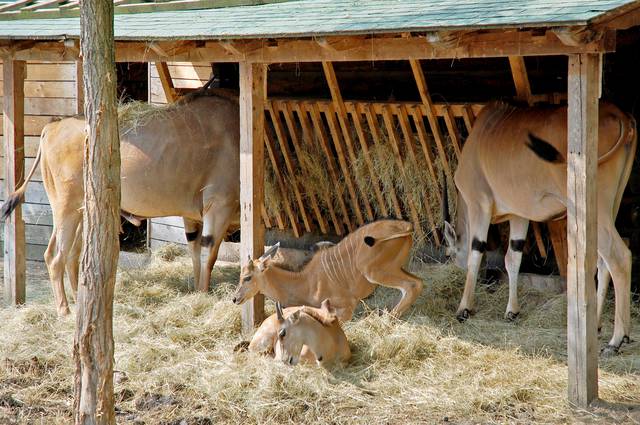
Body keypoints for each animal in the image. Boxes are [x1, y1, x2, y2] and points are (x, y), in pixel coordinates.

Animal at [0, 90, 240, 314]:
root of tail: (51, 127)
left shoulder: (192, 217)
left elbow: (195, 254)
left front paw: (197, 292)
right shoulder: (219, 207)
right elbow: (209, 256)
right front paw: (204, 296)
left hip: (80, 212)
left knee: (72, 256)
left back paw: (79, 303)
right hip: (65, 209)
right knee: (54, 257)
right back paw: (65, 311)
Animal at [232, 220, 422, 320]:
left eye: (247, 277)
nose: (235, 298)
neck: (305, 282)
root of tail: (406, 226)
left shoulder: (348, 305)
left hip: (374, 272)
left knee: (412, 286)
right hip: (394, 268)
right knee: (417, 282)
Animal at [444, 101, 636, 352]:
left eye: (449, 254)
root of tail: (621, 115)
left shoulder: (479, 204)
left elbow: (475, 253)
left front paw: (464, 309)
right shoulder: (519, 215)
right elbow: (513, 258)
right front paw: (512, 312)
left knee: (619, 257)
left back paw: (617, 340)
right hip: (610, 207)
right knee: (605, 261)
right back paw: (596, 326)